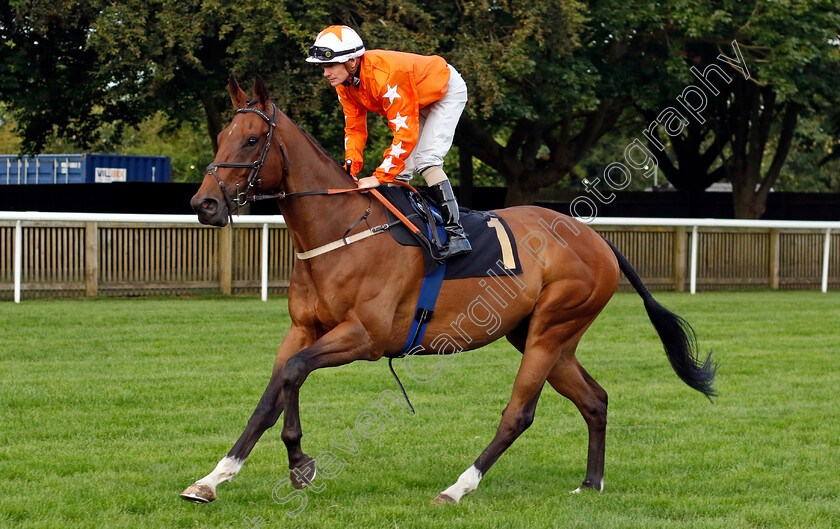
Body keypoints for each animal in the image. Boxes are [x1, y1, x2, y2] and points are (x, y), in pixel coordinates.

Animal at [182, 77, 716, 504]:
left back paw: (459, 487)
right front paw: (213, 478)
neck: (342, 232)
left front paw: (299, 464)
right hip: (544, 336)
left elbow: (293, 374)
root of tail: (596, 239)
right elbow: (271, 397)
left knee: (519, 413)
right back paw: (591, 483)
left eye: (252, 140)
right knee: (595, 399)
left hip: (551, 329)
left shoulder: (366, 337)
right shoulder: (303, 328)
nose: (204, 203)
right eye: (221, 137)